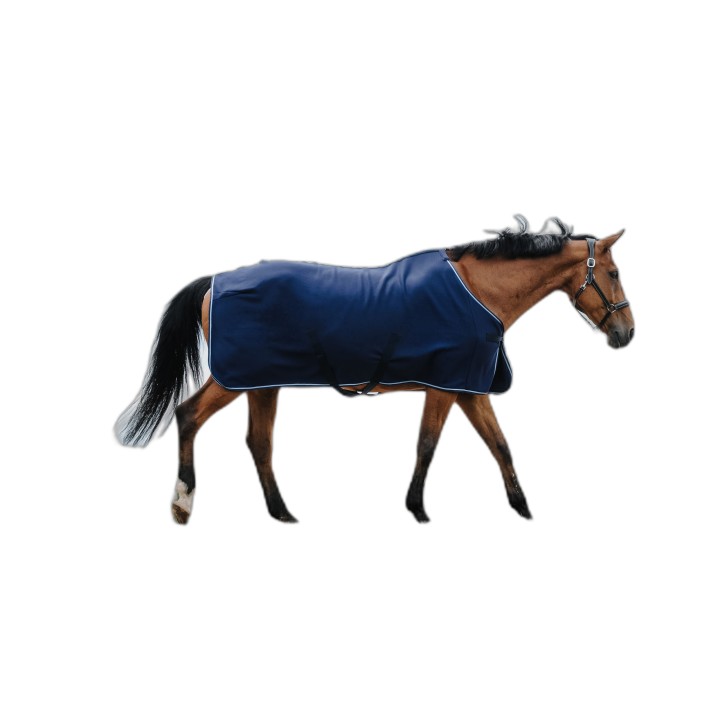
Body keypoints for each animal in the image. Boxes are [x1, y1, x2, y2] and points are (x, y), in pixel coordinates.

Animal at [115, 216, 634, 524]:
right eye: (613, 274)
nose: (626, 331)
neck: (477, 291)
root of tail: (214, 282)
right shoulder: (445, 385)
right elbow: (428, 445)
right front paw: (418, 510)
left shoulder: (468, 388)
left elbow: (500, 445)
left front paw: (523, 509)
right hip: (233, 378)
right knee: (189, 416)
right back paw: (183, 503)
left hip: (262, 383)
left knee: (258, 443)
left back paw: (282, 513)